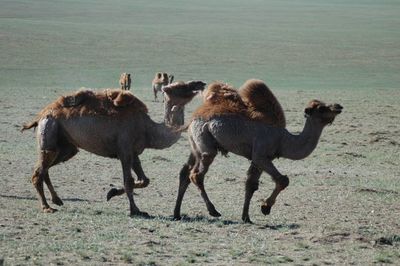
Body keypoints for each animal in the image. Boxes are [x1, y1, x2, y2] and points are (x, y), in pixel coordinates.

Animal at [21, 81, 206, 216]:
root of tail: (41, 115)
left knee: (46, 168)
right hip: (50, 131)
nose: (200, 83)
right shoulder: (124, 151)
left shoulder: (134, 153)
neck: (147, 128)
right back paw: (47, 207)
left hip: (66, 146)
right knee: (38, 172)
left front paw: (111, 193)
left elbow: (144, 180)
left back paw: (57, 200)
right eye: (181, 87)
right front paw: (136, 210)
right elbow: (129, 180)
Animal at [173, 80, 342, 222]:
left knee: (185, 172)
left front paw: (246, 217)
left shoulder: (261, 159)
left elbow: (251, 185)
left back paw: (177, 213)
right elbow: (283, 180)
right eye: (321, 108)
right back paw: (213, 211)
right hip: (206, 143)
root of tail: (194, 118)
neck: (283, 140)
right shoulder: (261, 155)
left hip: (195, 145)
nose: (338, 106)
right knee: (197, 174)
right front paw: (265, 207)